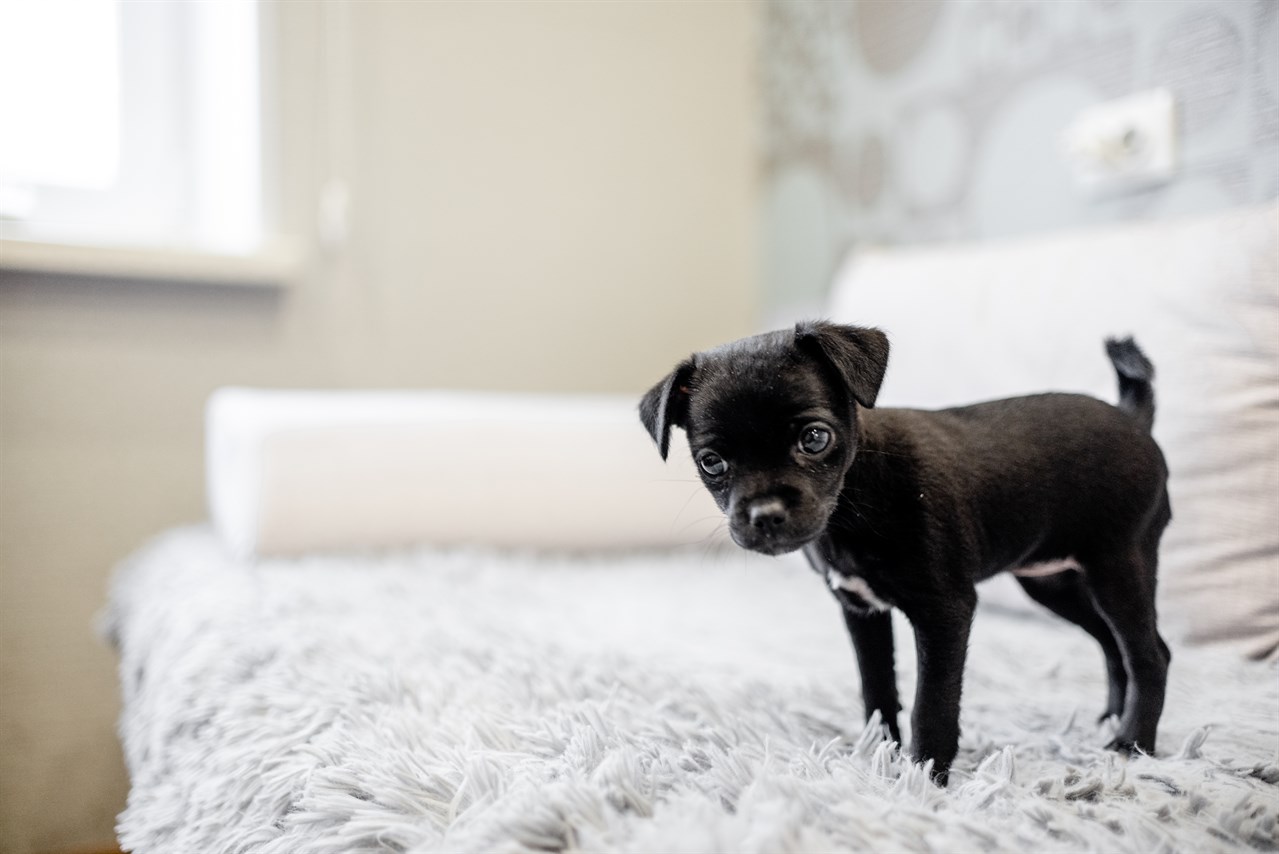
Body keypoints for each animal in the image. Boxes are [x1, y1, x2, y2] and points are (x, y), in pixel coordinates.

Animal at [639, 323, 1171, 782]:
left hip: (1118, 566)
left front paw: (925, 776)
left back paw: (1132, 742)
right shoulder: (862, 611)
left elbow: (931, 703)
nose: (765, 513)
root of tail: (1131, 419)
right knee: (1111, 643)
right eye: (712, 462)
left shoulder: (944, 612)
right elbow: (877, 688)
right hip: (1051, 581)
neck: (858, 494)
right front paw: (880, 751)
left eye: (814, 438)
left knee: (1149, 653)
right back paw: (1112, 717)